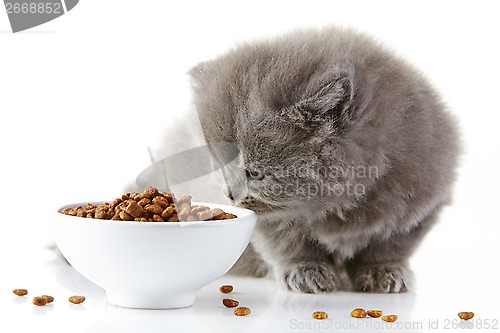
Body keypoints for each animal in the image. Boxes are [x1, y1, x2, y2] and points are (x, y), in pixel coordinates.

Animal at [188, 28, 460, 294]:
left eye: (255, 173)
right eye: (219, 167)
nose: (230, 195)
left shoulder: (418, 207)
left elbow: (390, 245)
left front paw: (383, 271)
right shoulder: (270, 223)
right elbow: (288, 243)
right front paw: (306, 271)